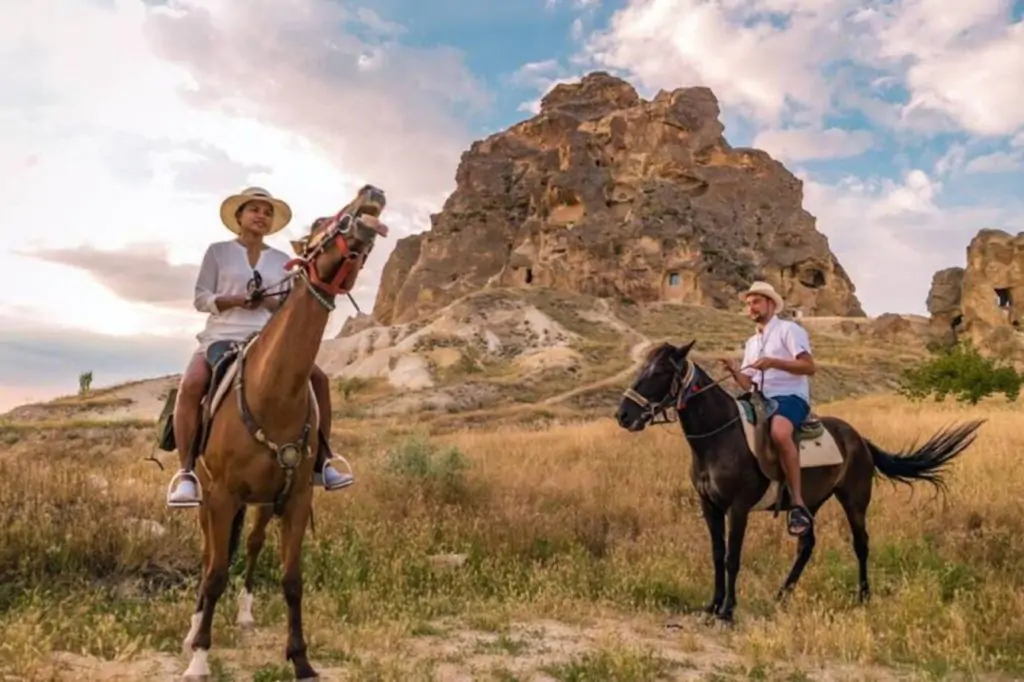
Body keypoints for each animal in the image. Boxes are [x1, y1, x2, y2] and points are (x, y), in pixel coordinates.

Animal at [180, 183, 387, 675]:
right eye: (318, 224)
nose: (371, 193)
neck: (271, 394)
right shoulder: (222, 496)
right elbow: (215, 573)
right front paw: (199, 658)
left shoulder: (296, 499)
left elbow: (293, 579)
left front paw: (301, 660)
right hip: (208, 496)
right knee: (209, 555)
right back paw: (193, 629)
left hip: (261, 501)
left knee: (253, 543)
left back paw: (245, 614)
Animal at [614, 339, 983, 622]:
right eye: (641, 369)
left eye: (659, 372)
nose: (623, 415)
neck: (720, 438)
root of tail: (860, 439)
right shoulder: (709, 506)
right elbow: (717, 554)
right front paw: (713, 605)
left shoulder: (738, 508)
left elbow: (733, 557)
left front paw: (728, 611)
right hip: (808, 504)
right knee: (806, 545)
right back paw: (782, 594)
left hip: (855, 500)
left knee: (861, 544)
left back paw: (863, 597)